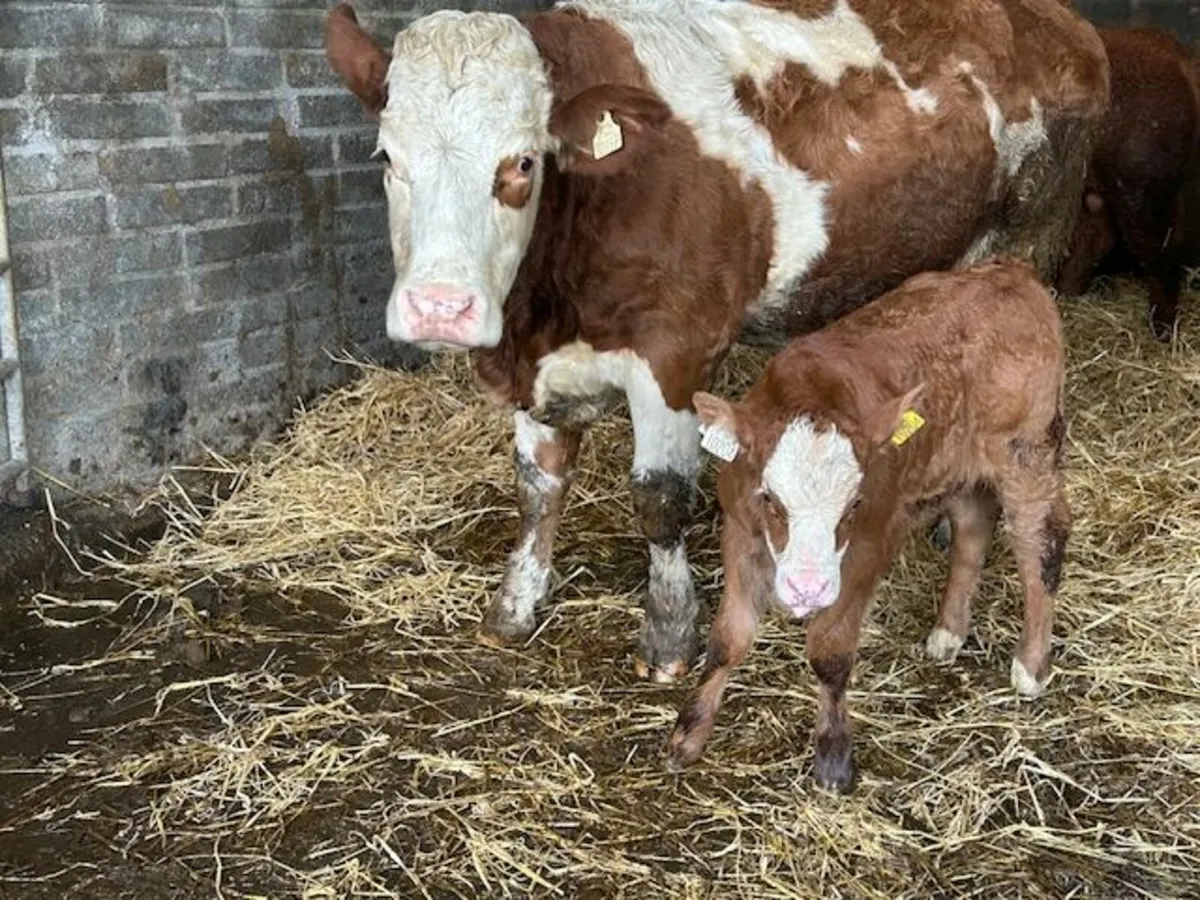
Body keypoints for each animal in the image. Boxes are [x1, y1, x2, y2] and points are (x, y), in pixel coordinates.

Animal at [323, 0, 1107, 683]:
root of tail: (1060, 24)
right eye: (387, 157)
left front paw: (670, 638)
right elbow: (537, 486)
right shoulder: (538, 369)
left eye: (521, 163)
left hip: (1023, 244)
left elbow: (659, 498)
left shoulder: (675, 352)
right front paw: (515, 606)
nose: (441, 307)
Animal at [664, 259, 1070, 792]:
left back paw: (1031, 665)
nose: (808, 588)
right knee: (972, 527)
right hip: (957, 464)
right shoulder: (740, 532)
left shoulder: (871, 543)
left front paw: (833, 756)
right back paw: (949, 632)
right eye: (769, 497)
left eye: (855, 503)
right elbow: (728, 640)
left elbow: (830, 653)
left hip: (1027, 453)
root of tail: (1012, 272)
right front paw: (688, 733)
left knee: (1039, 546)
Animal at [1057, 27, 1199, 340]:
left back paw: (1162, 335)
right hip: (1102, 187)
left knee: (1161, 254)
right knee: (1098, 237)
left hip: (1143, 187)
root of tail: (1182, 63)